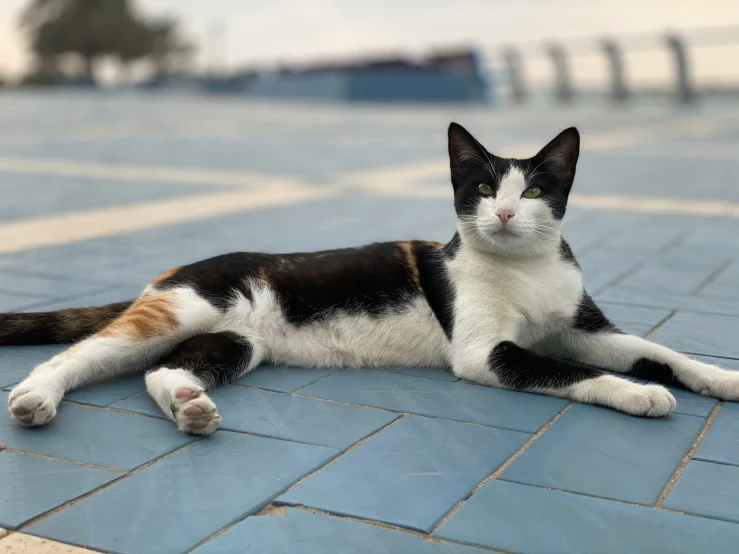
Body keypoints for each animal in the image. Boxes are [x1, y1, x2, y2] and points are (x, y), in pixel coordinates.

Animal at [5, 123, 739, 434]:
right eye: (480, 189)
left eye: (533, 190)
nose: (503, 213)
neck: (525, 269)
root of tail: (172, 270)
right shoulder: (487, 353)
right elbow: (567, 371)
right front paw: (637, 394)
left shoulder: (584, 328)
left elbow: (658, 351)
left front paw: (720, 378)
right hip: (179, 311)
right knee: (79, 354)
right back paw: (36, 396)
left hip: (234, 343)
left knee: (164, 369)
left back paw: (188, 405)